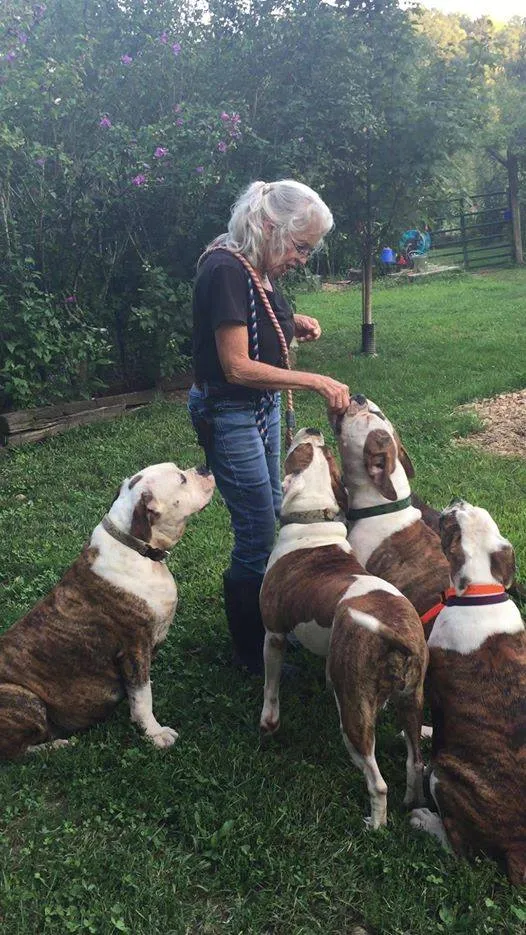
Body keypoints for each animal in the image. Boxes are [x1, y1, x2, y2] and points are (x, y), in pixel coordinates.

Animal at [0, 460, 217, 760]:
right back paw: (56, 745)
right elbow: (142, 697)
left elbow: (139, 690)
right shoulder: (134, 647)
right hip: (23, 698)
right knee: (15, 751)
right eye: (181, 479)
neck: (135, 545)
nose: (204, 467)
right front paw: (154, 733)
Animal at [258, 430, 428, 828]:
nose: (312, 431)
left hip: (354, 712)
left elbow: (271, 683)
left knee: (376, 780)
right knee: (415, 760)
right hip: (412, 698)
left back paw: (375, 825)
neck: (312, 524)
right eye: (325, 454)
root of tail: (395, 634)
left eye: (300, 451)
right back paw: (410, 801)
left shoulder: (274, 634)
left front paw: (268, 721)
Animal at [412, 498, 526, 884]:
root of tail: (517, 845)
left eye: (451, 524)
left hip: (444, 775)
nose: (457, 501)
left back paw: (426, 822)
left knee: (460, 850)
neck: (480, 590)